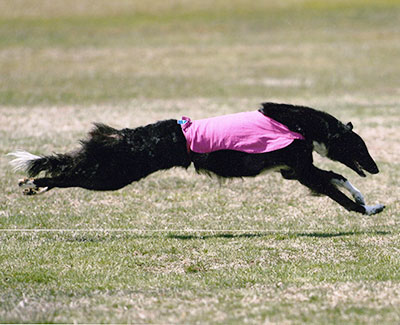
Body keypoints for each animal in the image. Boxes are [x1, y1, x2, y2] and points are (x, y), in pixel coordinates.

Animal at [8, 103, 384, 215]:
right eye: (360, 147)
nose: (377, 167)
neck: (302, 125)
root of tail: (126, 135)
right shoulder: (301, 170)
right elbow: (336, 189)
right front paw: (365, 209)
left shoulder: (292, 171)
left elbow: (339, 178)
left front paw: (369, 201)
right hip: (113, 176)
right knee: (67, 174)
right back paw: (35, 182)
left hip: (109, 171)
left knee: (67, 169)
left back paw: (34, 184)